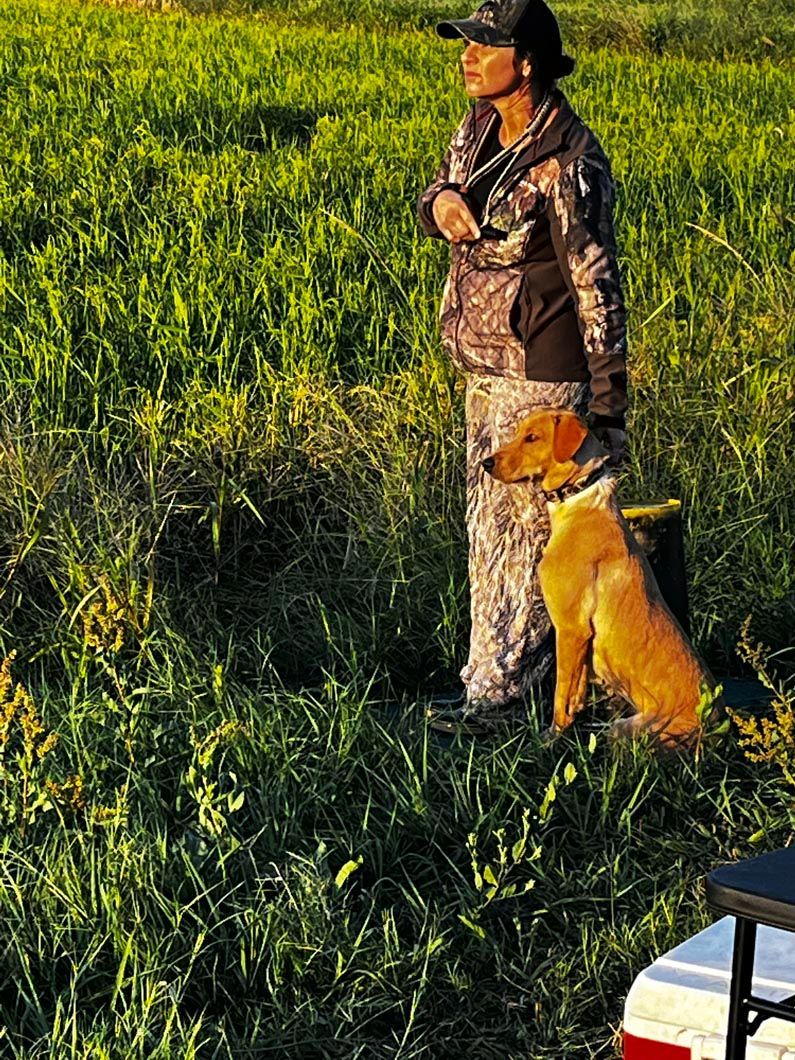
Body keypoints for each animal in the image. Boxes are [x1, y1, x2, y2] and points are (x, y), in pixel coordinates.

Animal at [482, 407, 720, 749]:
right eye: (518, 434)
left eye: (532, 437)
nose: (485, 463)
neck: (578, 499)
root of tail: (718, 726)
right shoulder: (581, 639)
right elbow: (575, 693)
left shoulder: (571, 629)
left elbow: (561, 694)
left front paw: (551, 739)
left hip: (630, 729)